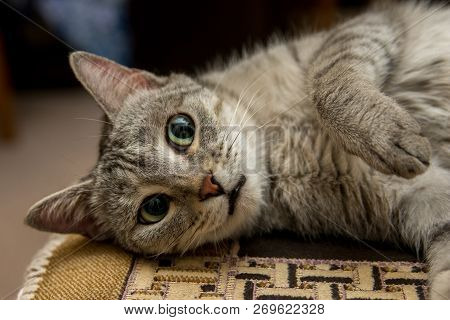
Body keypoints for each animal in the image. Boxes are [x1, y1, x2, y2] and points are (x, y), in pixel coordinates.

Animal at [25, 1, 450, 298]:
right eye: (154, 209)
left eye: (181, 129)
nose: (211, 184)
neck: (279, 147)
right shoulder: (416, 200)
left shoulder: (356, 31)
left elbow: (329, 82)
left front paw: (385, 133)